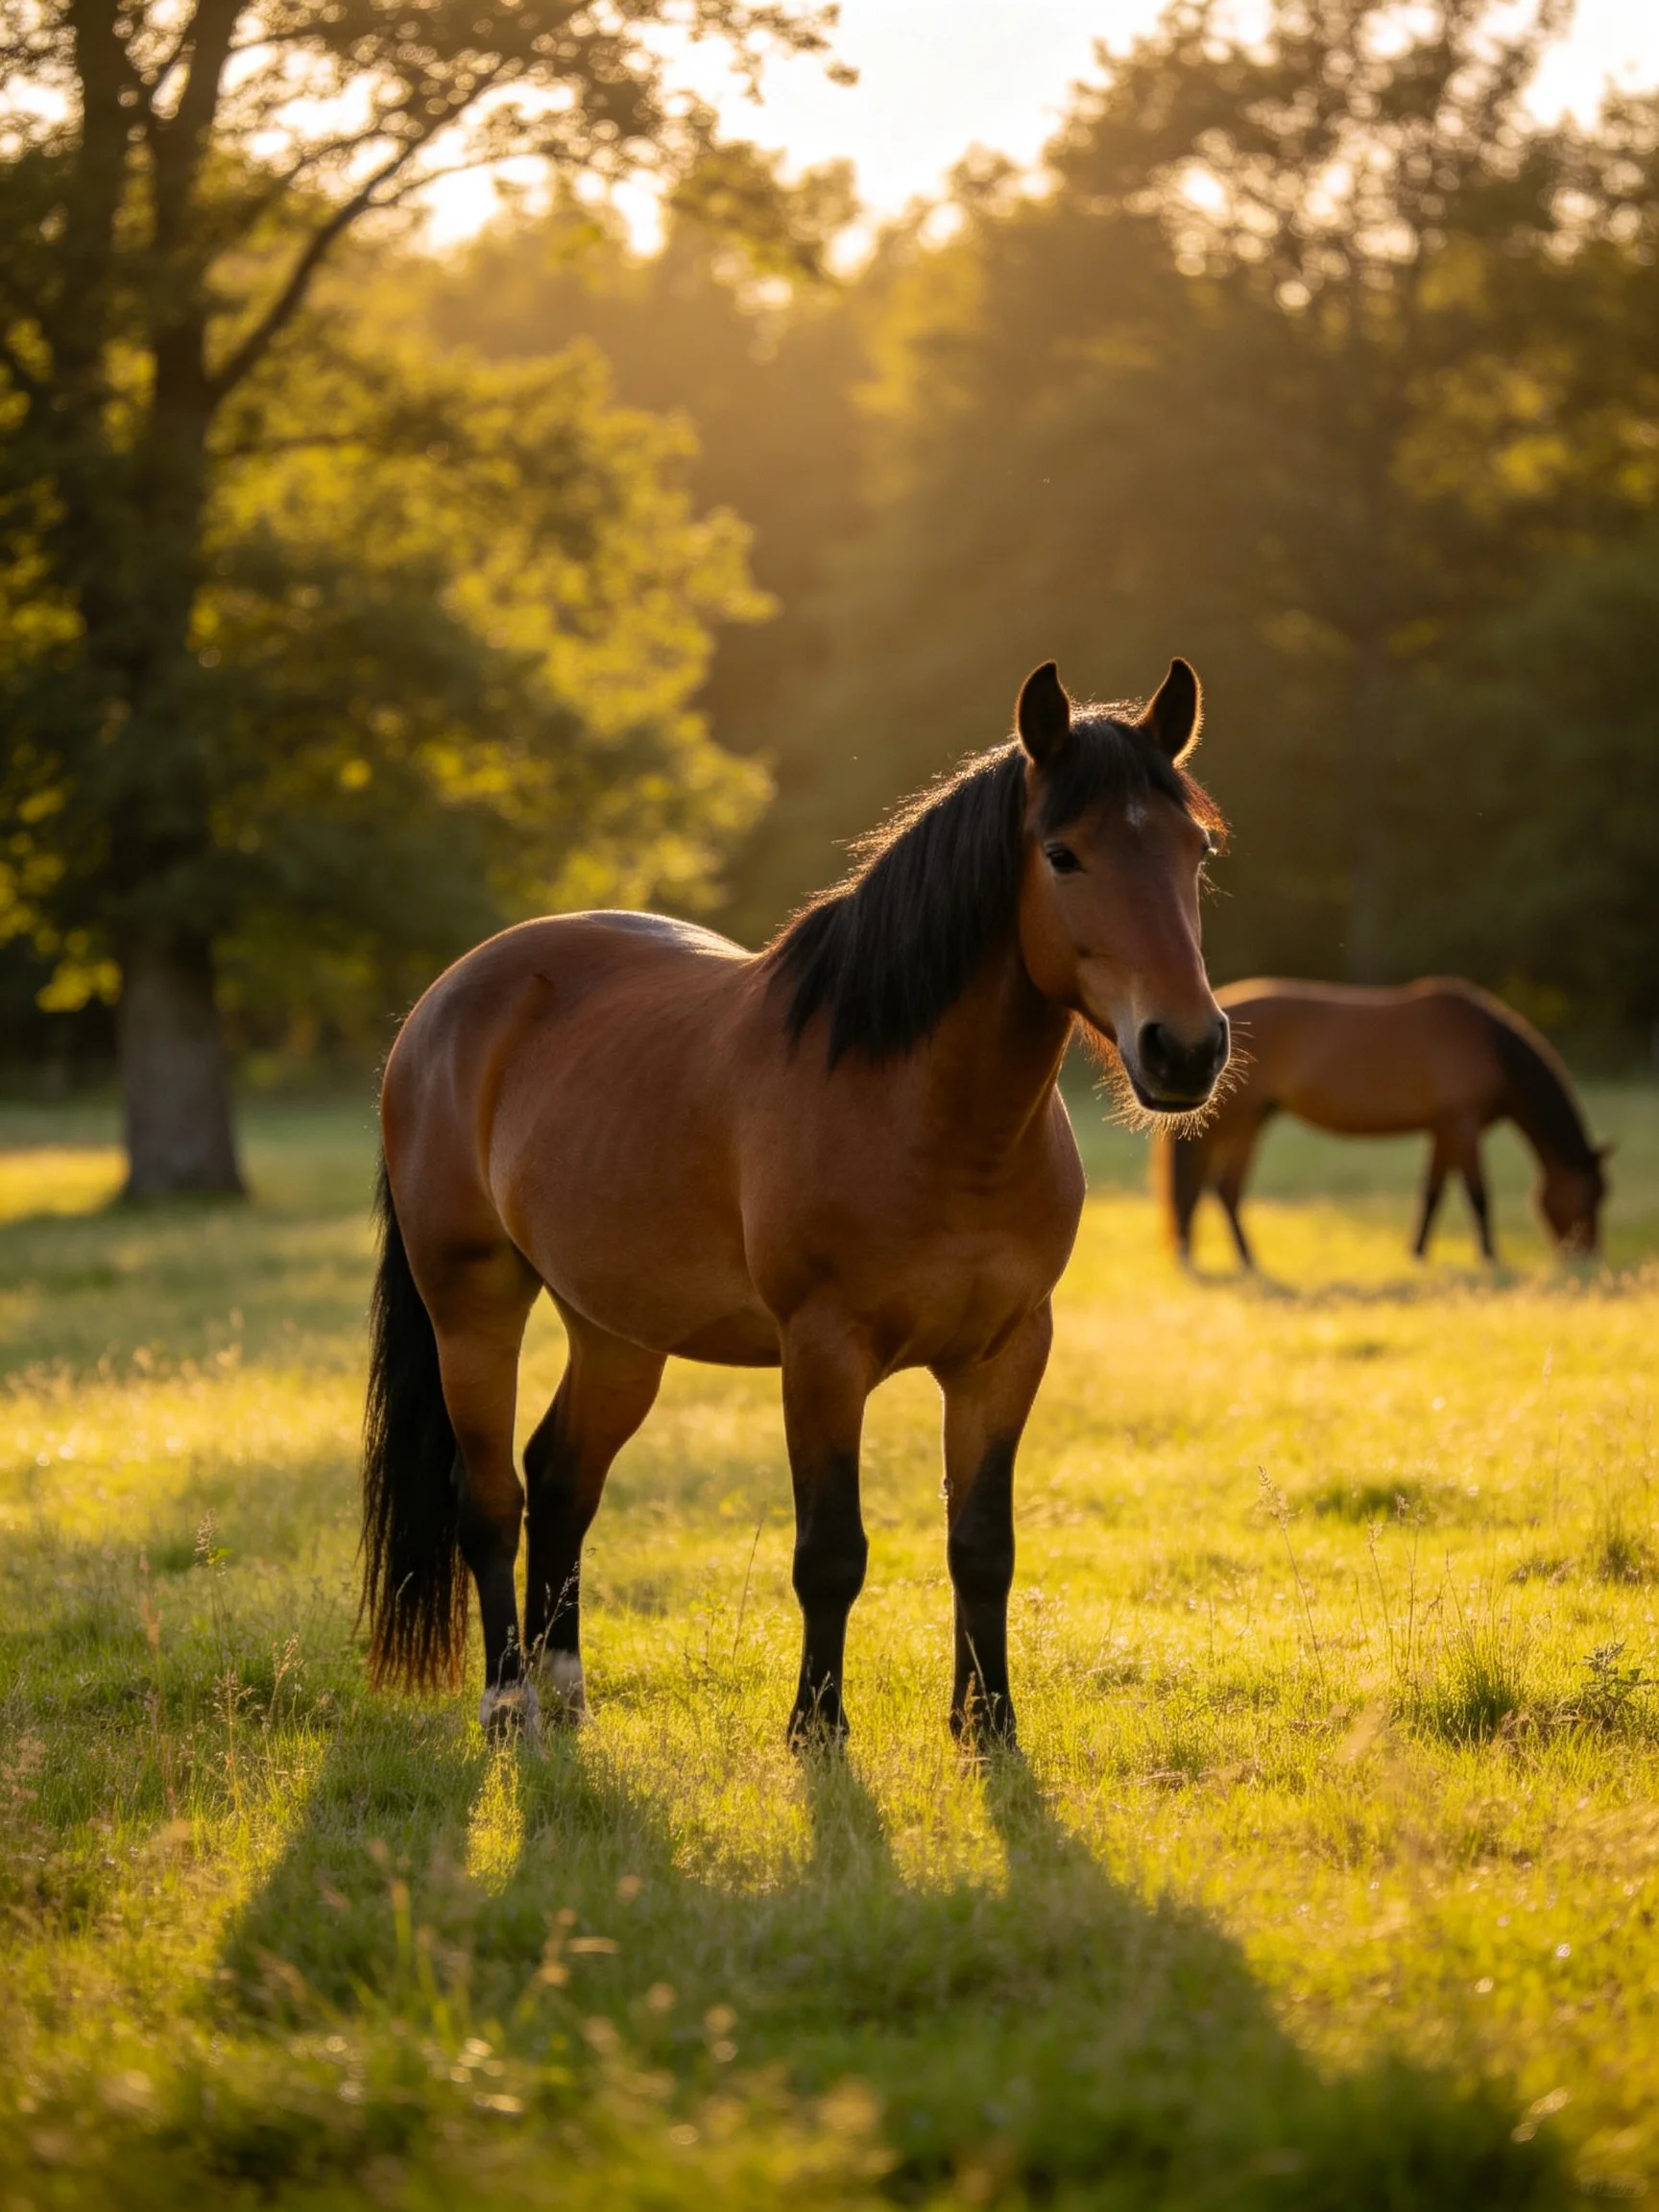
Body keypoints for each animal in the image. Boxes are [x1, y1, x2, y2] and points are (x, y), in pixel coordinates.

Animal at [361, 656, 1229, 1750]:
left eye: (1196, 849)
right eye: (1063, 854)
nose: (1186, 1049)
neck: (928, 1116)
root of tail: (444, 1002)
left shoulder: (1006, 1353)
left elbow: (981, 1546)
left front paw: (987, 1727)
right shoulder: (823, 1353)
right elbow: (830, 1554)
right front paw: (817, 1728)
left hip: (618, 1332)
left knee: (561, 1481)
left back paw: (566, 1693)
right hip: (472, 1309)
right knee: (489, 1500)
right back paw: (511, 1702)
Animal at [1156, 978, 1608, 1271]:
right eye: (1591, 1197)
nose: (1586, 1256)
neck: (1487, 1046)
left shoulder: (1444, 1130)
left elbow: (1433, 1193)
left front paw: (1419, 1254)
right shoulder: (1463, 1126)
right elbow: (1478, 1195)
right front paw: (1490, 1258)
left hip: (1247, 1121)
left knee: (1211, 1190)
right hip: (1242, 1120)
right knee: (1219, 1189)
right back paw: (1243, 1260)